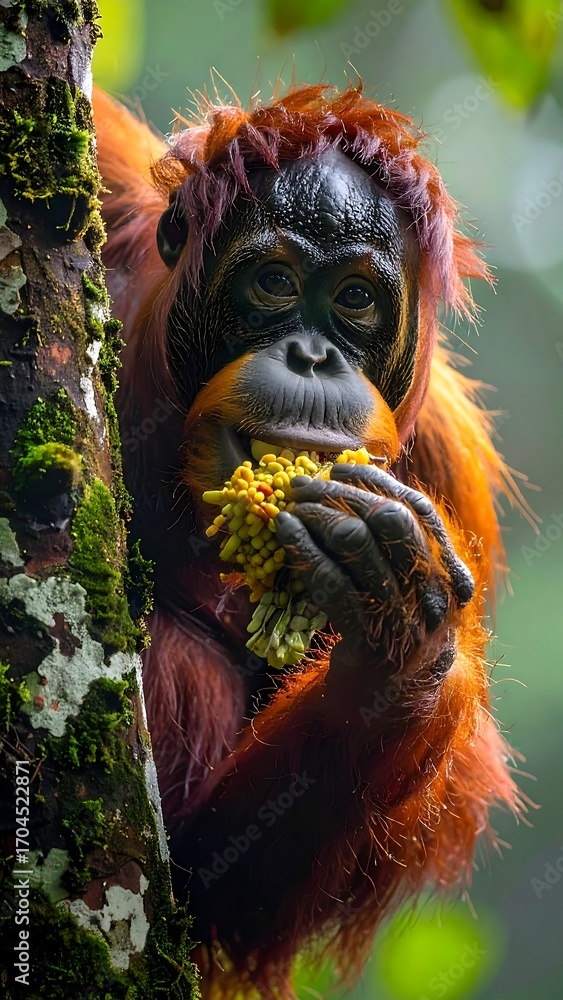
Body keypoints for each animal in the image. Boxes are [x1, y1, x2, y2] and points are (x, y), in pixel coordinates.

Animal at [92, 81, 528, 998]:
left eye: (356, 299)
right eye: (273, 281)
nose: (314, 354)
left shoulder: (440, 469)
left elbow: (207, 881)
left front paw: (398, 633)